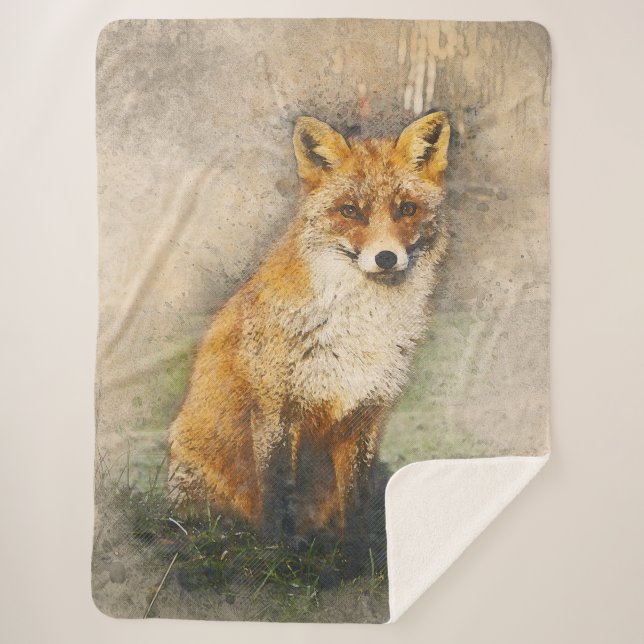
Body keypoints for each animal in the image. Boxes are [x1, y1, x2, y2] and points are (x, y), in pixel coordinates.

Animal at [168, 111, 450, 545]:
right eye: (350, 211)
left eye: (407, 209)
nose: (386, 257)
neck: (361, 327)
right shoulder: (276, 408)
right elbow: (278, 486)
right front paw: (279, 549)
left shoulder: (365, 414)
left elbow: (357, 494)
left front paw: (360, 550)